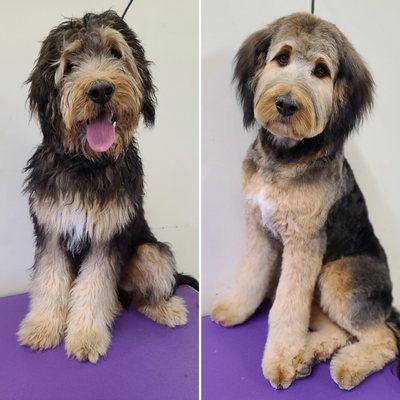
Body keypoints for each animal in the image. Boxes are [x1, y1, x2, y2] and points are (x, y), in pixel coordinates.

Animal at [18, 10, 197, 364]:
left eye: (116, 53)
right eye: (70, 62)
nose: (100, 90)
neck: (86, 165)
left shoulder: (106, 237)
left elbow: (93, 287)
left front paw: (86, 336)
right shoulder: (52, 230)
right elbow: (49, 280)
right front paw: (42, 327)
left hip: (151, 253)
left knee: (142, 294)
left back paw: (166, 309)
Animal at [211, 12, 398, 390]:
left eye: (321, 71)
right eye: (281, 58)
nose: (286, 104)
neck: (283, 160)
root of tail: (390, 303)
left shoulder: (303, 243)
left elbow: (286, 309)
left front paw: (281, 360)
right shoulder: (259, 228)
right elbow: (251, 275)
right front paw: (236, 308)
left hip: (337, 275)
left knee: (384, 338)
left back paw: (345, 364)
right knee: (341, 331)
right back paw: (309, 353)